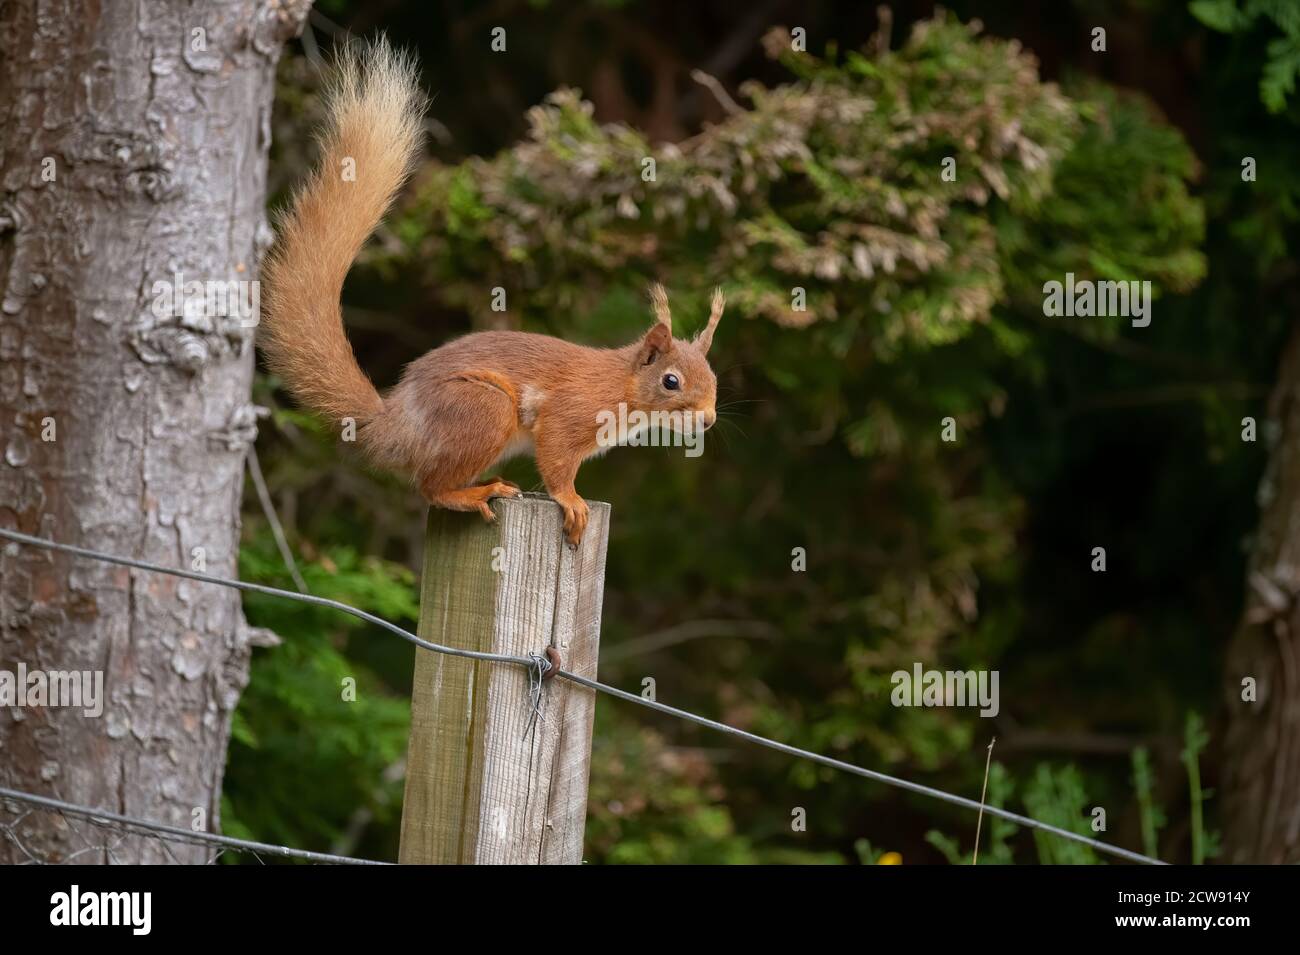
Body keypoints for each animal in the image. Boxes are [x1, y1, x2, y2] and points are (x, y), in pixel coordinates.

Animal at [253, 42, 722, 545]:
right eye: (671, 381)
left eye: (714, 379)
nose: (709, 419)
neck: (622, 385)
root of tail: (393, 427)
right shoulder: (569, 414)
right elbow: (557, 463)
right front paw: (573, 502)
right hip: (482, 409)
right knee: (431, 488)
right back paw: (478, 493)